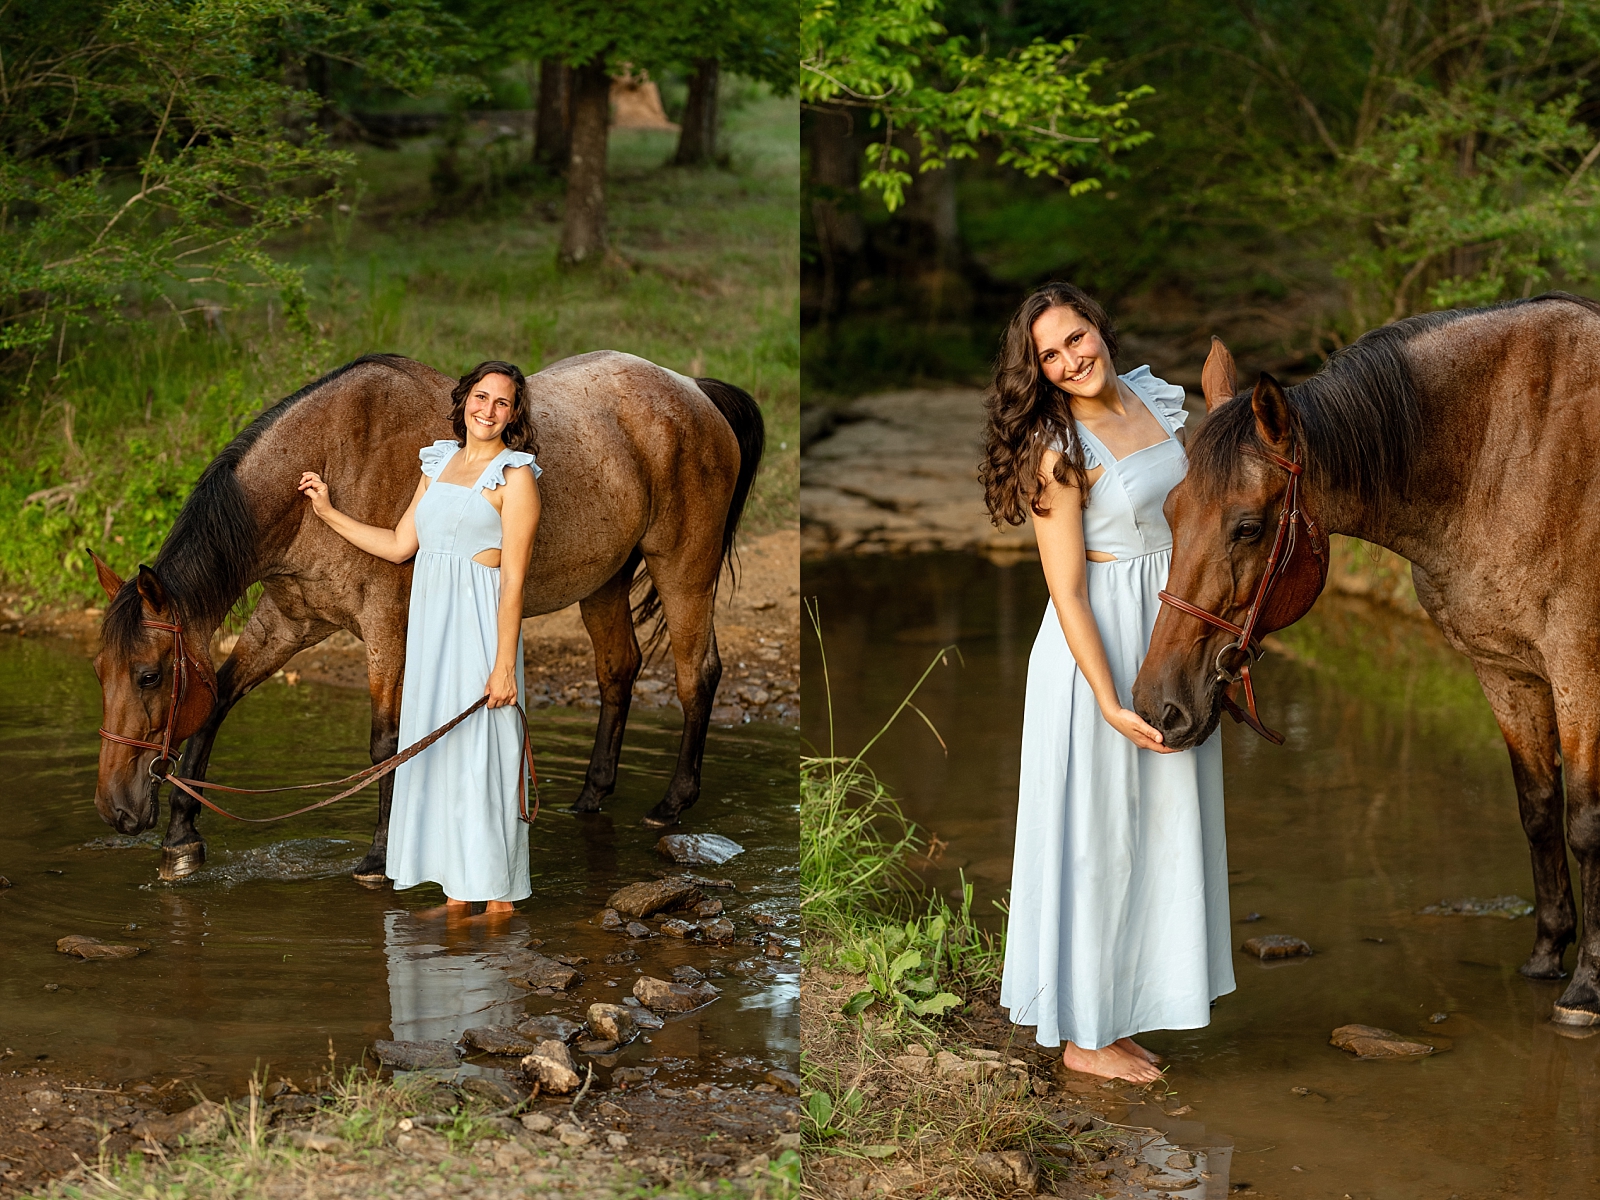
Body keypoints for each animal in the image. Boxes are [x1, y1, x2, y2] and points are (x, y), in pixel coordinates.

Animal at [90, 347, 764, 883]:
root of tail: (693, 390)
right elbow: (216, 704)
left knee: (696, 673)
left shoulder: (385, 626)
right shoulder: (286, 622)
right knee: (618, 671)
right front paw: (182, 839)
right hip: (604, 581)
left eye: (149, 676)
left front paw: (378, 857)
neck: (336, 459)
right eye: (101, 672)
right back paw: (590, 796)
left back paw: (672, 804)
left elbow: (386, 740)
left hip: (683, 567)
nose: (116, 810)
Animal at [1139, 296, 1600, 1030]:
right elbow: (1537, 810)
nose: (1159, 705)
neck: (1510, 454)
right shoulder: (1507, 671)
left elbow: (1583, 824)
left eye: (1247, 528)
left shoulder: (1577, 670)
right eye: (1172, 513)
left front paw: (1585, 988)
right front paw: (1547, 954)